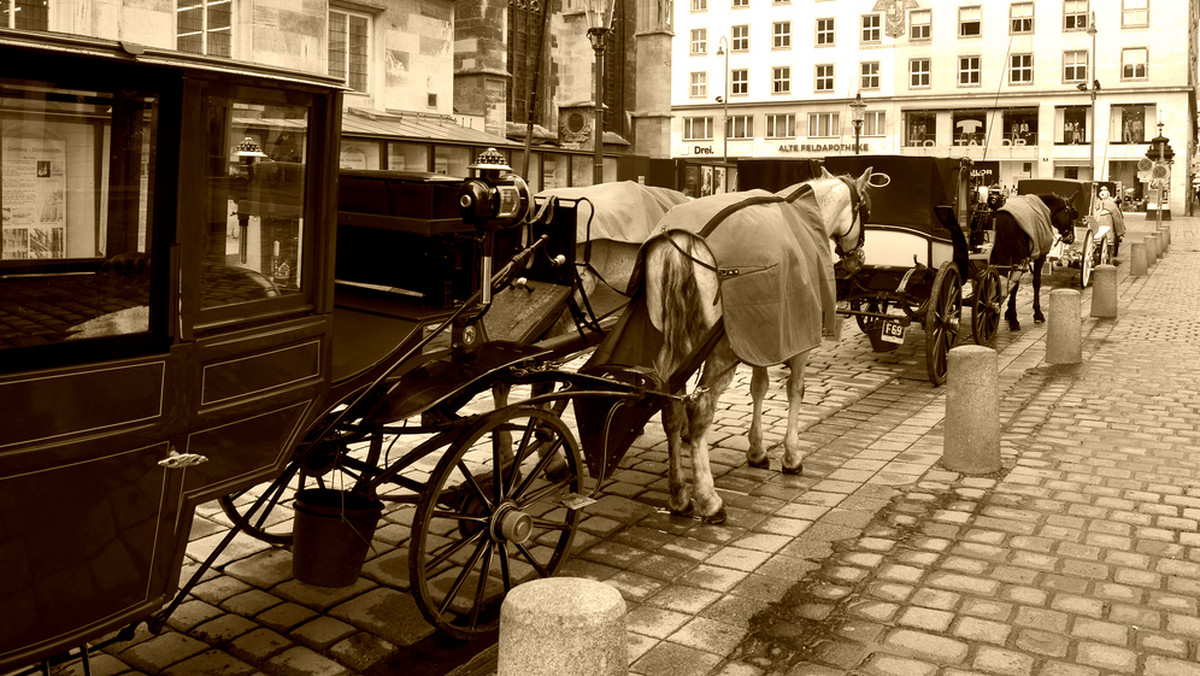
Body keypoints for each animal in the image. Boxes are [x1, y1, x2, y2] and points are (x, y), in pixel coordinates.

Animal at [638, 168, 873, 523]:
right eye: (868, 211)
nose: (858, 259)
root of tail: (686, 239)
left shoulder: (765, 335)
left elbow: (759, 387)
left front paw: (757, 450)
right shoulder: (798, 341)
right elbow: (795, 390)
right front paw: (791, 456)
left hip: (674, 347)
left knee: (671, 409)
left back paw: (679, 494)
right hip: (720, 352)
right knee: (699, 409)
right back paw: (709, 499)